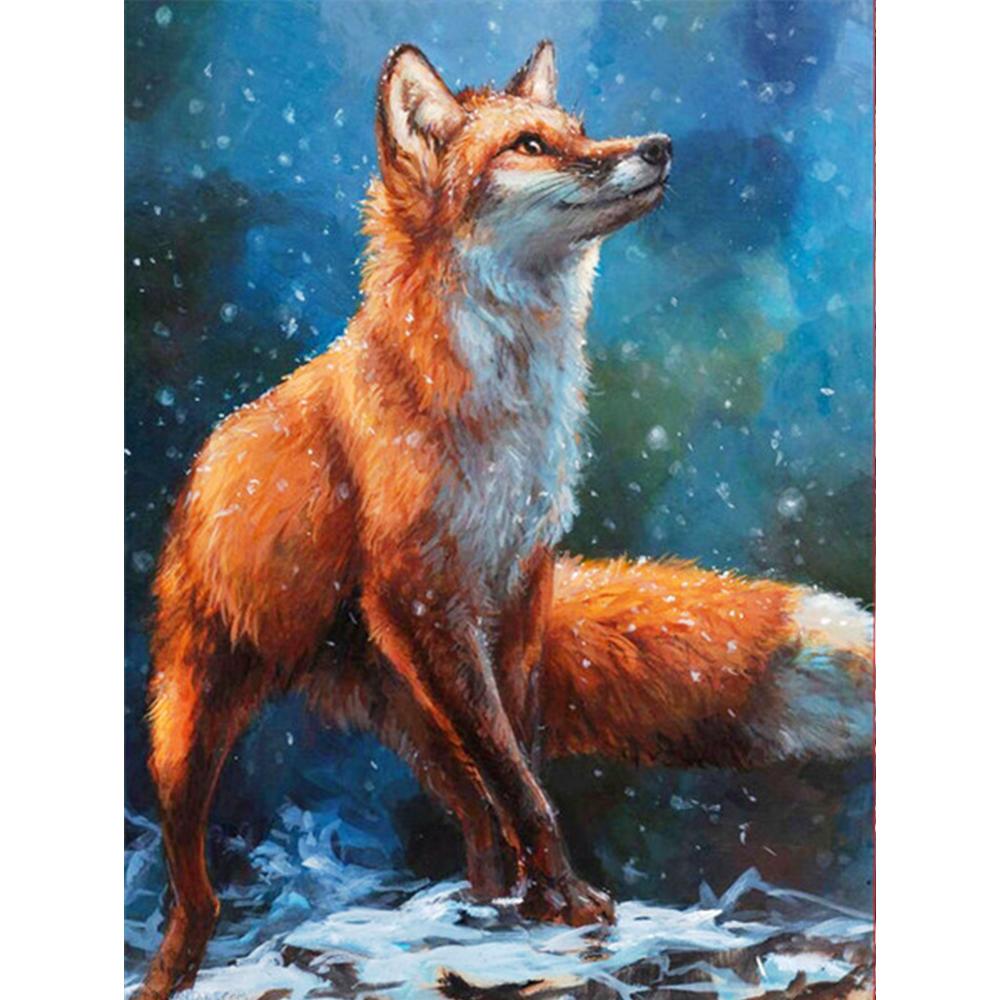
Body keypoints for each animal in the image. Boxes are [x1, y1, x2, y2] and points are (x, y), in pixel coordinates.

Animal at [136, 41, 873, 999]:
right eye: (529, 144)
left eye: (580, 130)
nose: (660, 146)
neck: (502, 418)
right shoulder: (431, 600)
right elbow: (520, 783)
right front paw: (562, 900)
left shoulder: (518, 588)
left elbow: (521, 765)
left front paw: (537, 903)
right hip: (196, 720)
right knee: (199, 888)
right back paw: (171, 969)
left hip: (417, 711)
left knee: (474, 816)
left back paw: (482, 897)